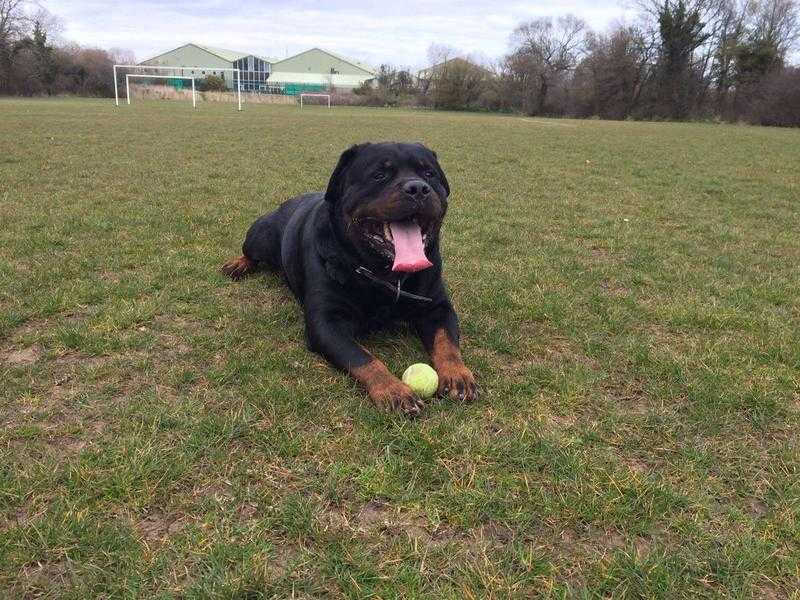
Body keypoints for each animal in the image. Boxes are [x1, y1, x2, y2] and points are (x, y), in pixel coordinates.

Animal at [220, 142, 476, 414]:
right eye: (379, 175)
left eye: (429, 174)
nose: (418, 188)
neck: (384, 274)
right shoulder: (326, 323)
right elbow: (363, 358)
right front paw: (393, 390)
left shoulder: (438, 307)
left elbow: (447, 342)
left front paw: (457, 374)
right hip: (259, 235)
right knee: (250, 252)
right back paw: (238, 264)